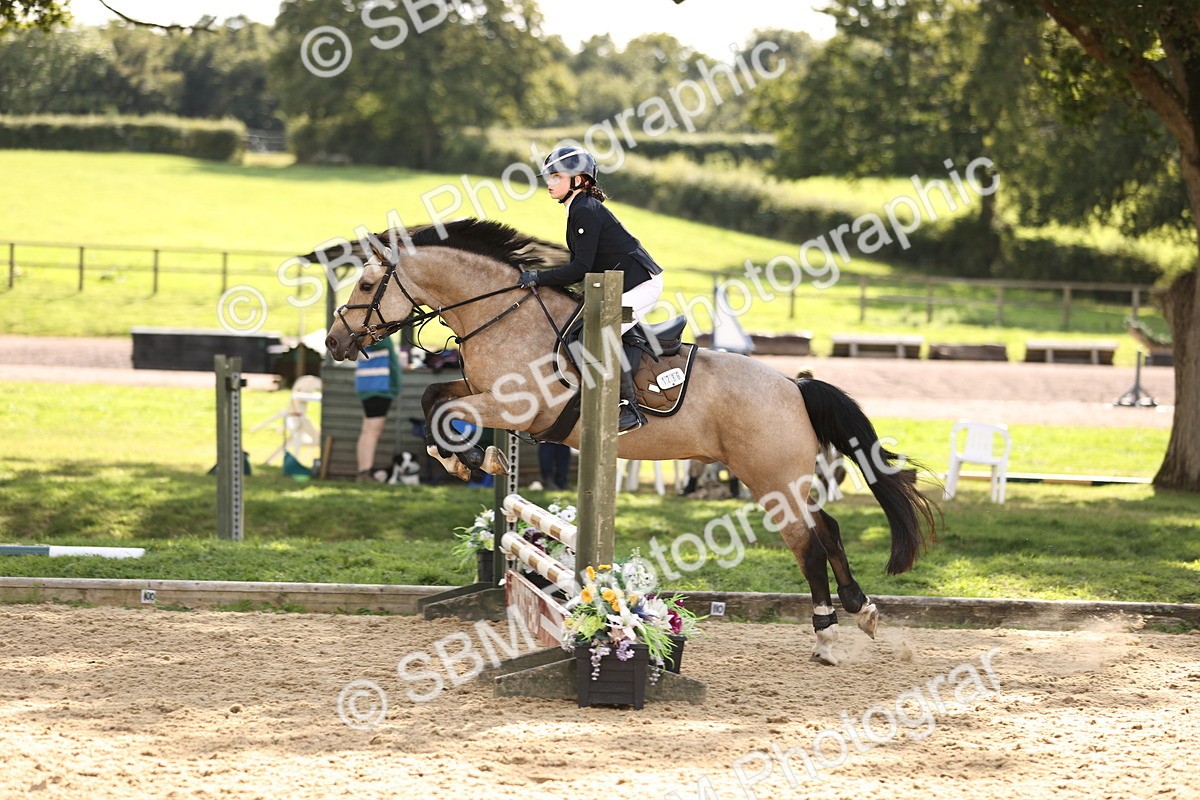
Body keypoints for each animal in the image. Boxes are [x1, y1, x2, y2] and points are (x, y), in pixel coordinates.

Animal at [317, 218, 938, 666]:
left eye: (367, 284)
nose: (335, 342)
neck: (501, 314)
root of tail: (794, 384)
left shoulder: (521, 408)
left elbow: (447, 411)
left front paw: (474, 457)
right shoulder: (480, 390)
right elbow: (434, 400)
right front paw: (469, 459)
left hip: (770, 478)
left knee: (808, 545)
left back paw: (829, 638)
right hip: (785, 480)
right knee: (827, 529)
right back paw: (860, 612)